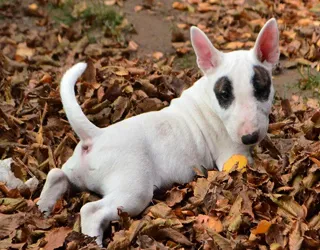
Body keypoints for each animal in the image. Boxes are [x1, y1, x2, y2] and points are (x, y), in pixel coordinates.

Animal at [37, 18, 278, 245]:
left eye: (261, 90)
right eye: (225, 95)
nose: (250, 136)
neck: (209, 99)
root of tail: (96, 135)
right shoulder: (232, 155)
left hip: (78, 170)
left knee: (57, 174)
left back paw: (43, 208)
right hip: (133, 189)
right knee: (91, 210)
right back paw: (93, 241)